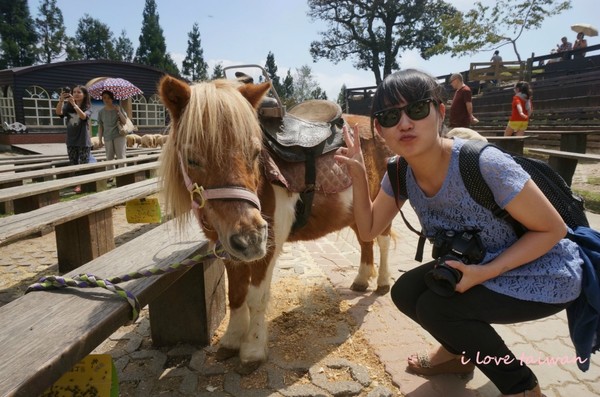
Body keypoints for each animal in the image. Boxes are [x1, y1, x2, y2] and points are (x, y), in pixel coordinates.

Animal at [159, 76, 394, 372]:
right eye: (191, 159)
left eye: (255, 152)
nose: (250, 238)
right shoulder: (229, 249)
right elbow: (236, 295)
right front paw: (231, 341)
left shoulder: (267, 247)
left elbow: (256, 298)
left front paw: (253, 350)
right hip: (357, 213)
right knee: (366, 241)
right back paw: (362, 279)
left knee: (382, 242)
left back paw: (383, 282)